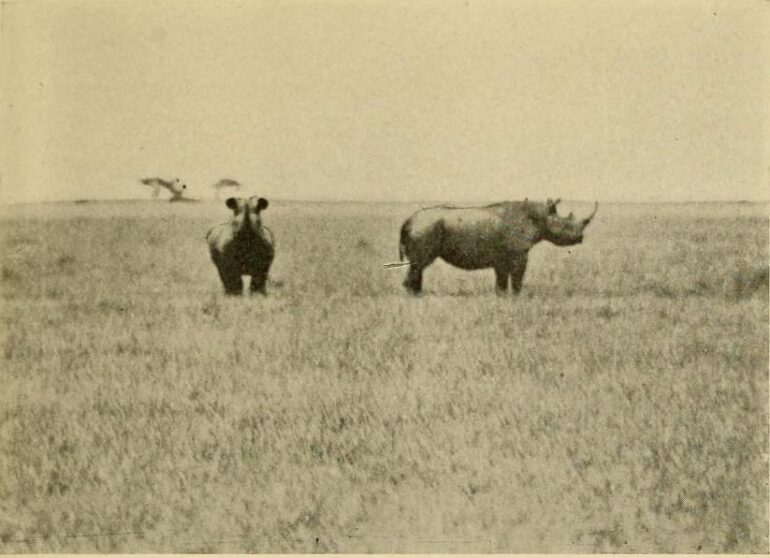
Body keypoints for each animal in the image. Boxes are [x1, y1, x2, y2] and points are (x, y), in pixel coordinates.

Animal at [398, 198, 597, 294]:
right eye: (566, 226)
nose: (580, 238)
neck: (540, 218)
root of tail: (408, 221)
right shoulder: (519, 253)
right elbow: (517, 277)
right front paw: (518, 297)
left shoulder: (502, 257)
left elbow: (501, 280)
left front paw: (501, 297)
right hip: (424, 228)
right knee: (419, 265)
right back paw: (414, 297)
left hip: (423, 227)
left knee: (418, 267)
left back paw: (419, 295)